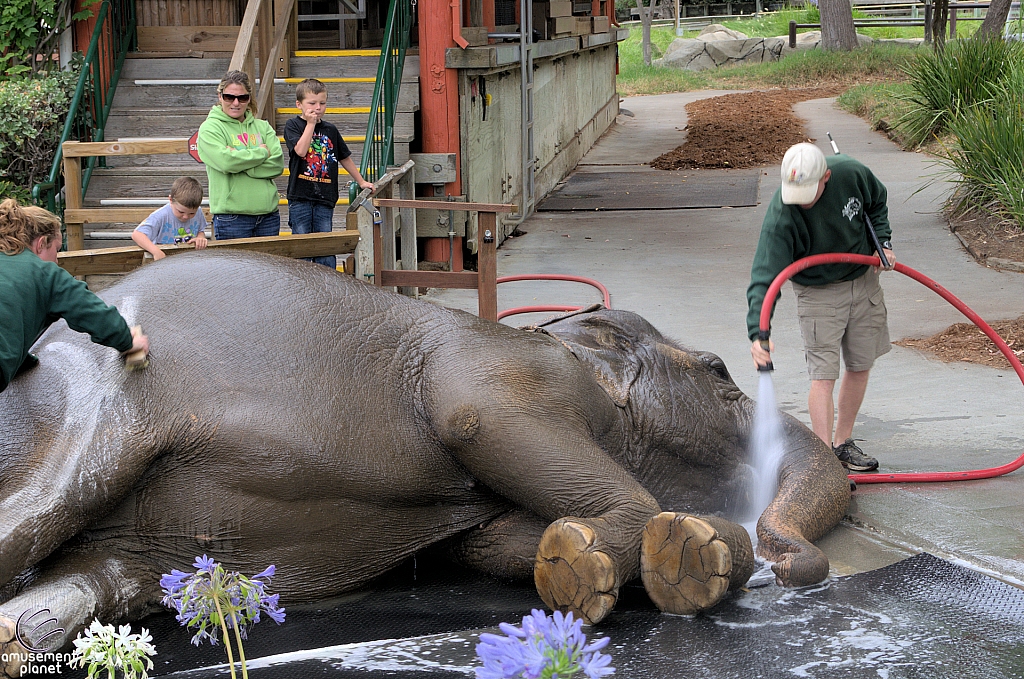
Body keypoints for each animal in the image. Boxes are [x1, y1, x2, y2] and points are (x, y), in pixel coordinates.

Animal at [0, 249, 847, 667]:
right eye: (721, 372)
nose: (786, 561)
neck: (561, 332)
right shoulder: (501, 369)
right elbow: (477, 419)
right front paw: (603, 566)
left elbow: (495, 544)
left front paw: (656, 556)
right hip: (86, 408)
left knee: (94, 580)